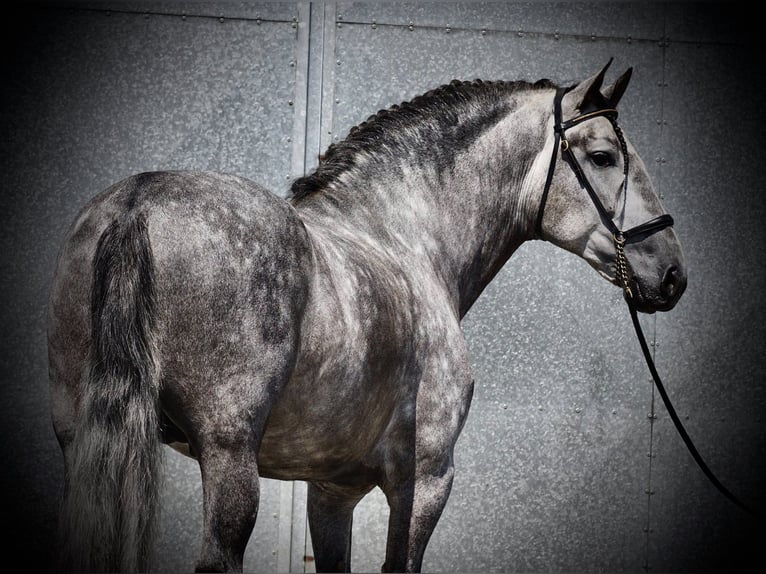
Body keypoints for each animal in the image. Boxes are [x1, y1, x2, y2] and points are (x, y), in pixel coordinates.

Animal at [47, 60, 686, 573]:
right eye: (603, 157)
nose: (672, 275)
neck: (403, 238)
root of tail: (136, 204)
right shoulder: (426, 479)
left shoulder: (332, 490)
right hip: (228, 456)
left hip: (83, 441)